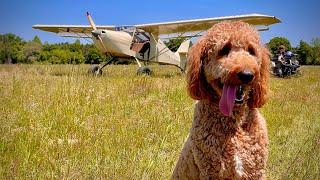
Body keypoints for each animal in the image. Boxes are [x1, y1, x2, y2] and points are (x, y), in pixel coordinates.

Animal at [172, 21, 270, 179]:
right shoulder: (211, 171)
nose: (247, 74)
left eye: (251, 51)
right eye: (224, 49)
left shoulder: (255, 171)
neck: (234, 125)